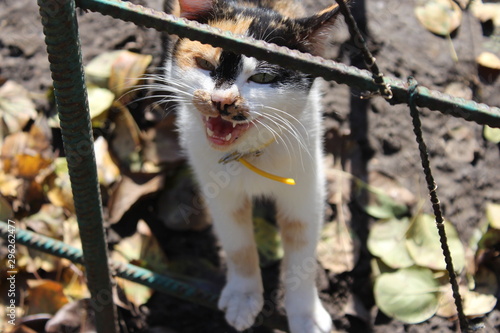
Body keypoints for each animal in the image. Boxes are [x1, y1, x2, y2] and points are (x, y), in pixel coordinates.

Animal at [162, 1, 342, 330]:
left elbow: (302, 247)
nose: (221, 101)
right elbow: (238, 244)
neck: (248, 153)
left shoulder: (305, 187)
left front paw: (306, 314)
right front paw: (243, 297)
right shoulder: (219, 191)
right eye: (205, 64)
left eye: (262, 79)